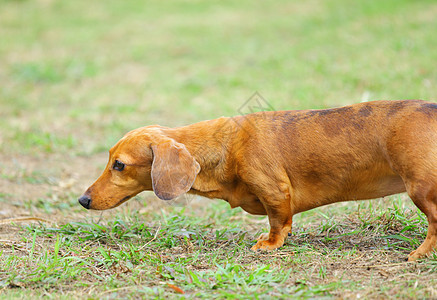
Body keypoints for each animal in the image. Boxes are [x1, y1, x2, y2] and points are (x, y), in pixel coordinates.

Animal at [78, 100, 436, 260]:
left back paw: (420, 253)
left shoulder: (274, 191)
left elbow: (278, 222)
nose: (83, 200)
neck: (224, 146)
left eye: (119, 165)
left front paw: (270, 244)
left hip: (420, 189)